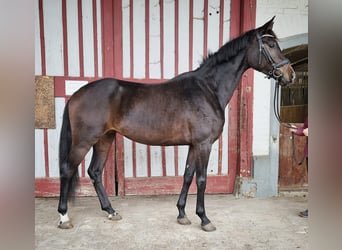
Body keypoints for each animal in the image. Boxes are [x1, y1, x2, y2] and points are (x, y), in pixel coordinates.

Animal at [57, 17, 296, 231]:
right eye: (271, 45)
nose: (290, 75)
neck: (208, 89)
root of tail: (77, 94)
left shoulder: (193, 145)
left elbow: (188, 176)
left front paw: (182, 214)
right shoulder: (203, 144)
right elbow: (201, 180)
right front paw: (204, 219)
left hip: (105, 139)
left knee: (95, 172)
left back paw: (111, 211)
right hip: (84, 141)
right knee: (68, 169)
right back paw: (64, 217)